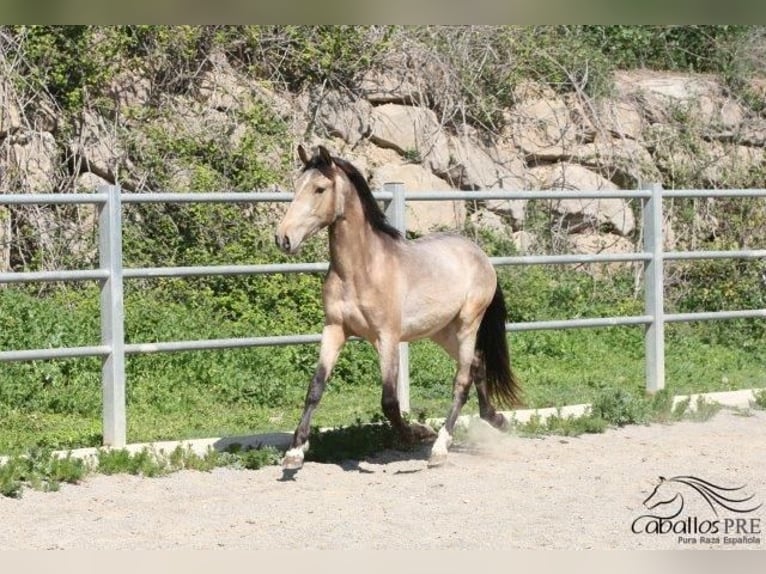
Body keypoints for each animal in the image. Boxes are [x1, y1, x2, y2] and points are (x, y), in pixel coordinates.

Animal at [276, 146, 520, 470]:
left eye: (319, 188)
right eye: (296, 187)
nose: (283, 238)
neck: (361, 270)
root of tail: (480, 255)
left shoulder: (387, 337)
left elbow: (390, 401)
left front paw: (417, 433)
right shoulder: (335, 329)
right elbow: (315, 388)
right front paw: (295, 452)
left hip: (468, 323)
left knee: (462, 379)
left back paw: (440, 447)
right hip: (441, 331)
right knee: (478, 365)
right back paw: (497, 420)